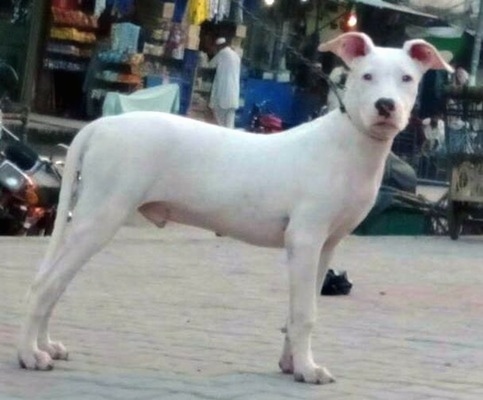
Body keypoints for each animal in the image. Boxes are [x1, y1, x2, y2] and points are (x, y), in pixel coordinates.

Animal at [18, 32, 450, 382]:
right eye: (366, 77)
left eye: (407, 79)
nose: (385, 106)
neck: (350, 143)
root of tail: (98, 126)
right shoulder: (305, 240)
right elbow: (305, 314)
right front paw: (308, 370)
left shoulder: (325, 247)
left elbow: (298, 310)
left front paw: (292, 364)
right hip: (100, 217)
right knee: (44, 285)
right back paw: (29, 355)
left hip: (87, 217)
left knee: (55, 284)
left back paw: (46, 345)